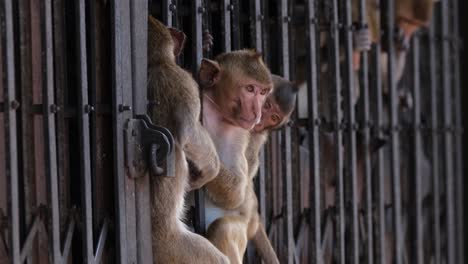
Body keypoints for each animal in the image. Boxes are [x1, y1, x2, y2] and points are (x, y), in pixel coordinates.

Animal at [145, 17, 228, 264]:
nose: (179, 32)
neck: (154, 63)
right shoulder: (181, 80)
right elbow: (189, 132)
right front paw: (211, 170)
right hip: (171, 247)